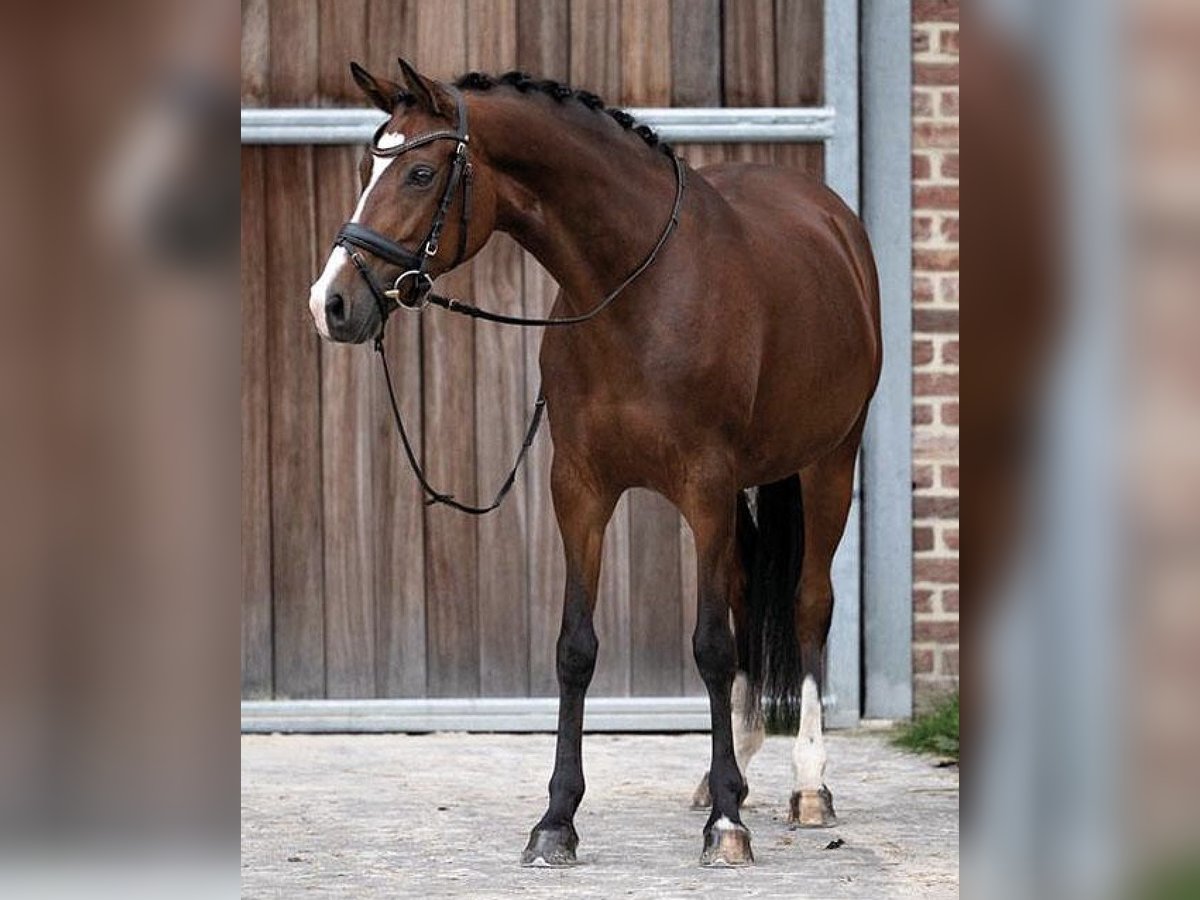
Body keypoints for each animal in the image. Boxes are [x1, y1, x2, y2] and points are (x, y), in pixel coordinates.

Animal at [307, 60, 883, 868]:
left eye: (420, 172)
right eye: (368, 170)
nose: (329, 303)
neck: (634, 291)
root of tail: (831, 220)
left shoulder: (704, 487)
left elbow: (710, 644)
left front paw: (727, 826)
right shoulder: (578, 488)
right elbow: (575, 648)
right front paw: (557, 820)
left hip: (830, 461)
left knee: (806, 604)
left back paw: (807, 787)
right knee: (747, 594)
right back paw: (731, 769)